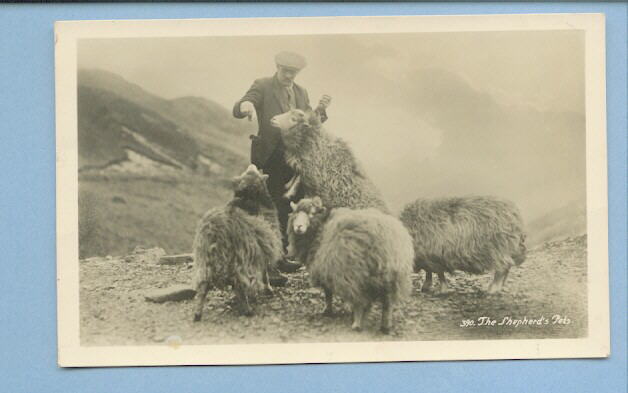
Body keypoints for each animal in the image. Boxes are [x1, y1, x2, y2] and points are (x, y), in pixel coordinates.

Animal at [190, 164, 280, 320]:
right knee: (239, 283)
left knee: (203, 286)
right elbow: (265, 273)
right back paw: (247, 309)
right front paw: (268, 289)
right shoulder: (263, 249)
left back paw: (197, 313)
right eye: (250, 171)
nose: (252, 165)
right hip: (240, 258)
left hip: (204, 259)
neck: (247, 197)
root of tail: (217, 230)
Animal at [288, 198, 414, 332]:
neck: (320, 228)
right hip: (392, 276)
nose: (298, 227)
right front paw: (346, 308)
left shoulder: (327, 267)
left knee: (360, 299)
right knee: (388, 302)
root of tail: (388, 240)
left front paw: (329, 310)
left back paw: (357, 324)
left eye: (312, 214)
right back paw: (385, 326)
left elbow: (328, 293)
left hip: (357, 272)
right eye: (295, 214)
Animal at [400, 194, 528, 292]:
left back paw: (492, 289)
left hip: (498, 251)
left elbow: (438, 274)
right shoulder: (429, 258)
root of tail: (516, 217)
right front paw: (426, 287)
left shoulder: (435, 257)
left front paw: (440, 289)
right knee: (506, 269)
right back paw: (498, 287)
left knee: (502, 268)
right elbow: (430, 272)